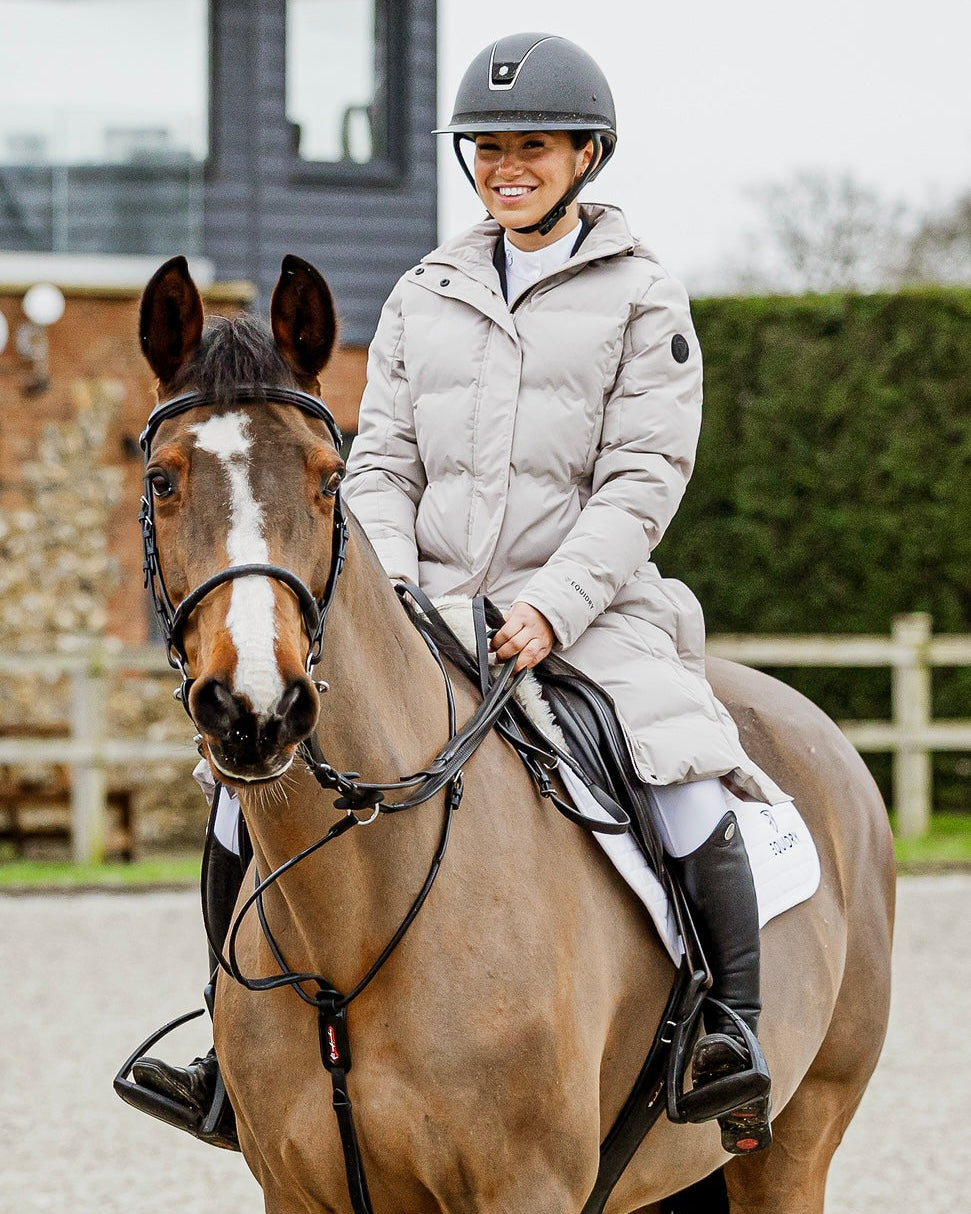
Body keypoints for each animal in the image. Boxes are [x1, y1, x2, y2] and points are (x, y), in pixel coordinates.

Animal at [135, 253, 894, 1214]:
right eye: (162, 480)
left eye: (328, 478)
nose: (255, 708)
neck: (353, 933)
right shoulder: (296, 1193)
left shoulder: (525, 1187)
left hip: (795, 1140)